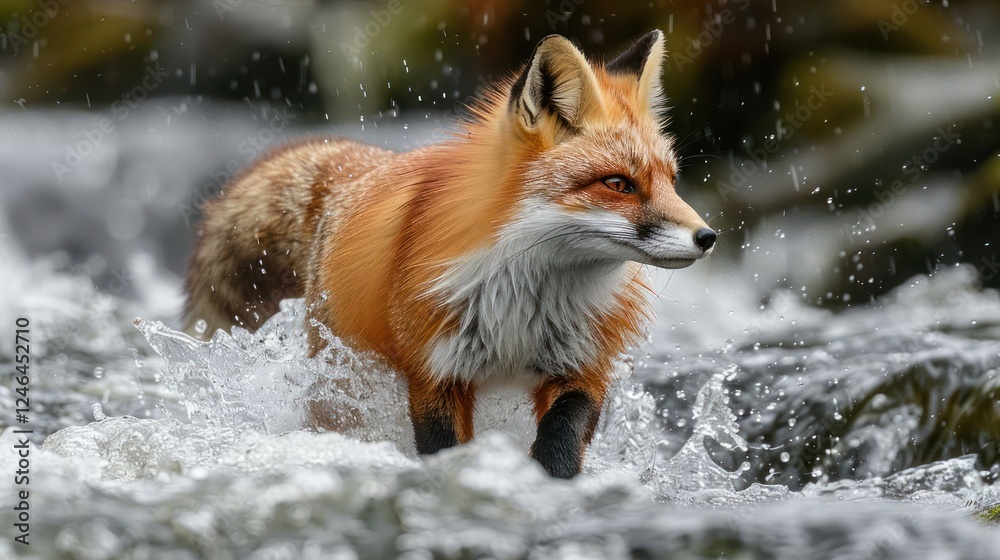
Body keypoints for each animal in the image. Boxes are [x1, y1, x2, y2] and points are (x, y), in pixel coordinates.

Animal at [184, 30, 716, 478]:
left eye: (671, 181)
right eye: (618, 184)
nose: (707, 237)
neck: (524, 306)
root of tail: (362, 168)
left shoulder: (582, 366)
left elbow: (562, 443)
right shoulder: (435, 372)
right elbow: (445, 448)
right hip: (343, 384)